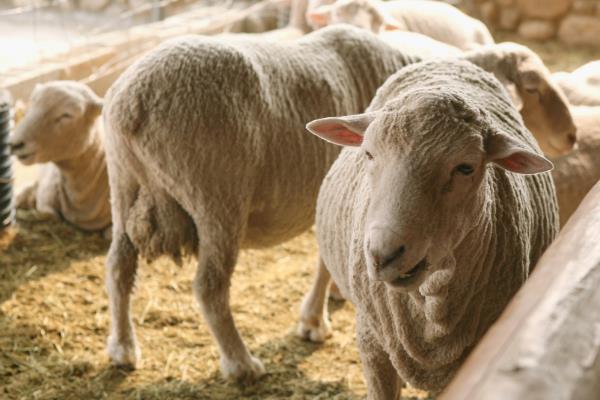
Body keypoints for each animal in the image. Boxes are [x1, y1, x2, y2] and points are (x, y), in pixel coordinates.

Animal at [102, 25, 422, 382]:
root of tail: (133, 100)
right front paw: (314, 321)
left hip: (122, 181)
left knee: (118, 267)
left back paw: (123, 348)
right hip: (216, 195)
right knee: (209, 286)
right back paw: (240, 363)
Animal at [300, 59, 556, 396]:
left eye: (465, 168)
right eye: (369, 153)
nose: (383, 255)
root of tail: (452, 62)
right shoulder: (371, 341)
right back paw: (313, 319)